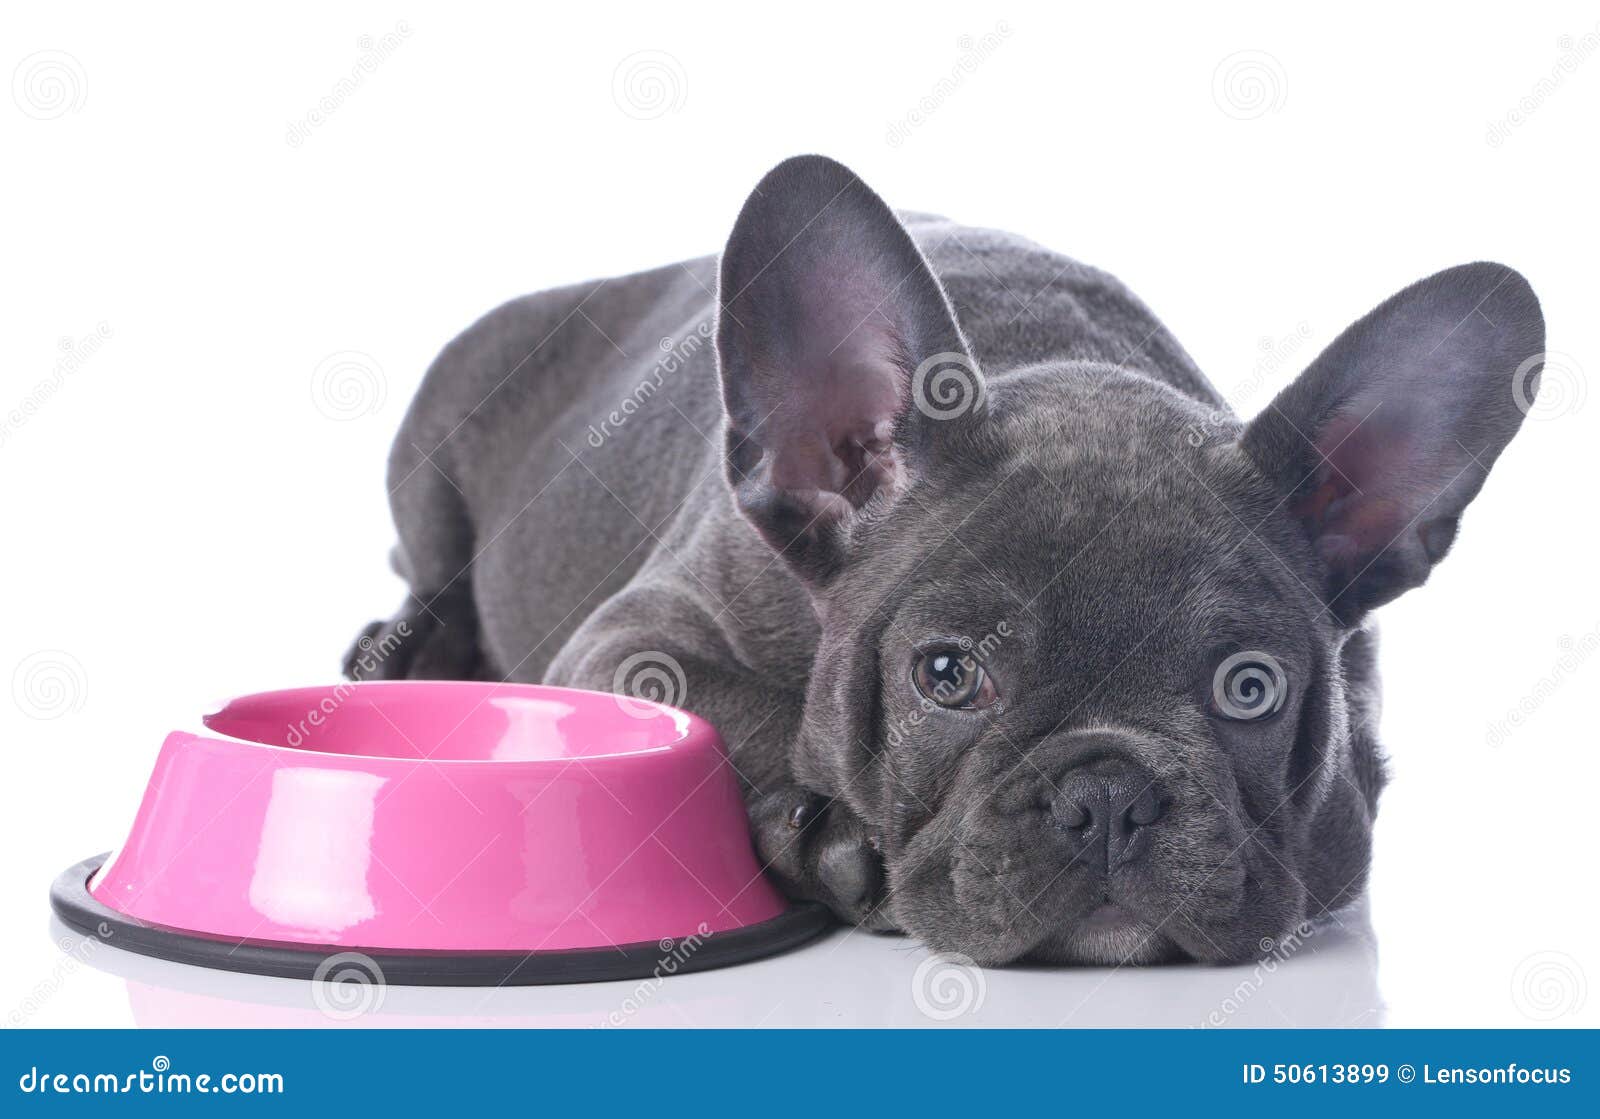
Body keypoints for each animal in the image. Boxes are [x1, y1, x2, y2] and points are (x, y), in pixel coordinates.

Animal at [344, 152, 1542, 966]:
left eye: (1252, 690)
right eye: (947, 675)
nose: (1107, 793)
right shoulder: (637, 643)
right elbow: (760, 715)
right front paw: (824, 835)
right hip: (435, 438)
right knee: (432, 567)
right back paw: (398, 648)